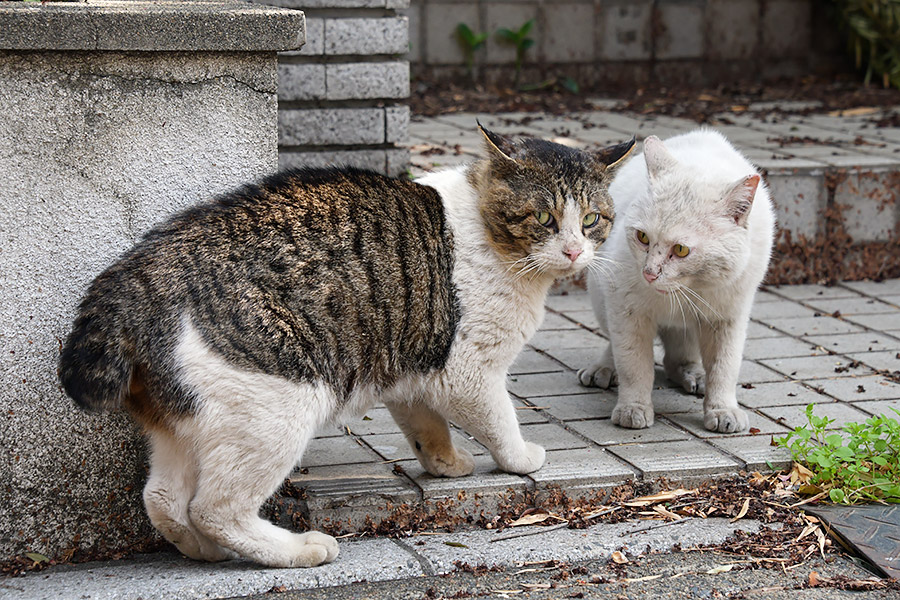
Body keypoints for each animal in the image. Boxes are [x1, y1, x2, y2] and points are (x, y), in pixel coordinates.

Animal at [59, 125, 632, 568]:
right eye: (544, 219)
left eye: (592, 220)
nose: (574, 251)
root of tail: (141, 274)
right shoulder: (468, 370)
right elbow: (500, 421)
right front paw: (519, 458)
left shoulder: (412, 367)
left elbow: (426, 428)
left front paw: (446, 464)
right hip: (280, 406)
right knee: (215, 509)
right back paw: (298, 551)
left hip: (181, 423)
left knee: (162, 501)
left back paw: (203, 551)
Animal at [580, 129, 776, 434]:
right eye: (643, 237)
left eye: (681, 250)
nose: (649, 272)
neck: (687, 290)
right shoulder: (626, 311)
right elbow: (633, 364)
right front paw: (633, 408)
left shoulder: (729, 317)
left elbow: (724, 367)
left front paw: (722, 409)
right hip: (600, 297)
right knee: (616, 345)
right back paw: (604, 369)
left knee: (678, 357)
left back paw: (693, 374)